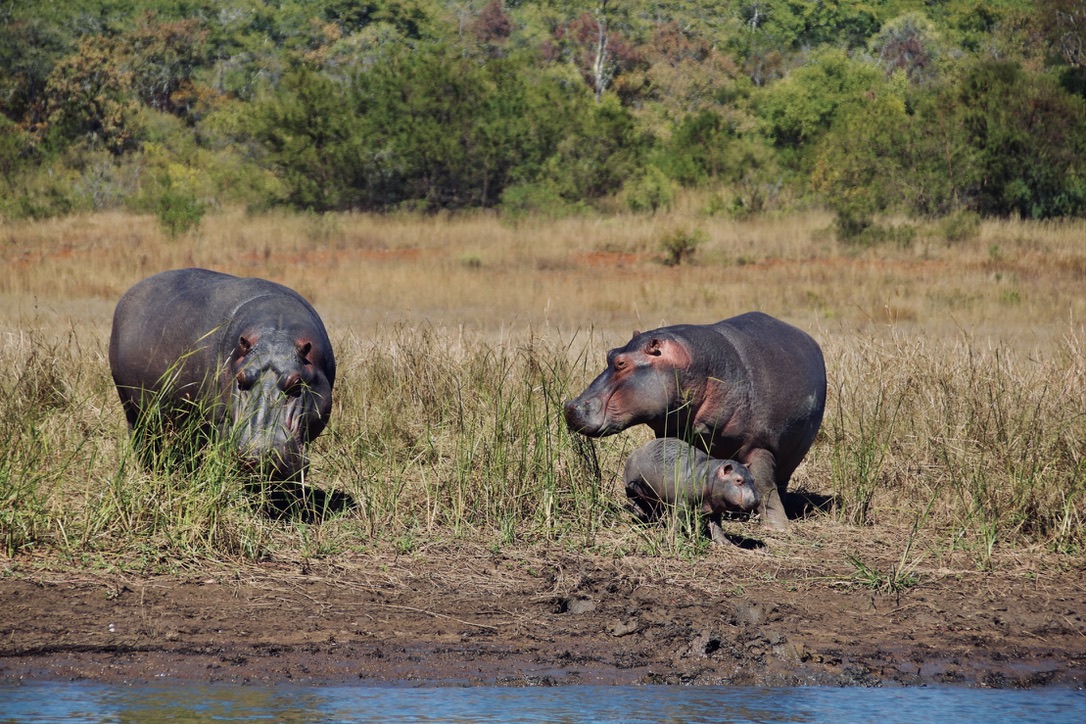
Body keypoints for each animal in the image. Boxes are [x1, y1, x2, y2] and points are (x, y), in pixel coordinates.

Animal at [109, 268, 336, 480]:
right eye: (240, 379)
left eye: (297, 382)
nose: (256, 454)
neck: (277, 333)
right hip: (132, 407)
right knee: (142, 440)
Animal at [564, 311, 826, 530]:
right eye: (610, 353)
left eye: (621, 362)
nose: (570, 407)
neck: (694, 365)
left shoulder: (759, 445)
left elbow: (765, 486)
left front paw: (779, 529)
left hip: (793, 453)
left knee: (778, 483)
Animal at [624, 438, 759, 544]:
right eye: (738, 480)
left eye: (753, 479)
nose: (757, 500)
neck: (709, 474)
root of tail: (635, 451)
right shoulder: (682, 503)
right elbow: (678, 520)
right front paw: (677, 538)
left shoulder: (716, 507)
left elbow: (717, 526)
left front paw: (726, 543)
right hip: (631, 486)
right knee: (633, 498)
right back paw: (639, 514)